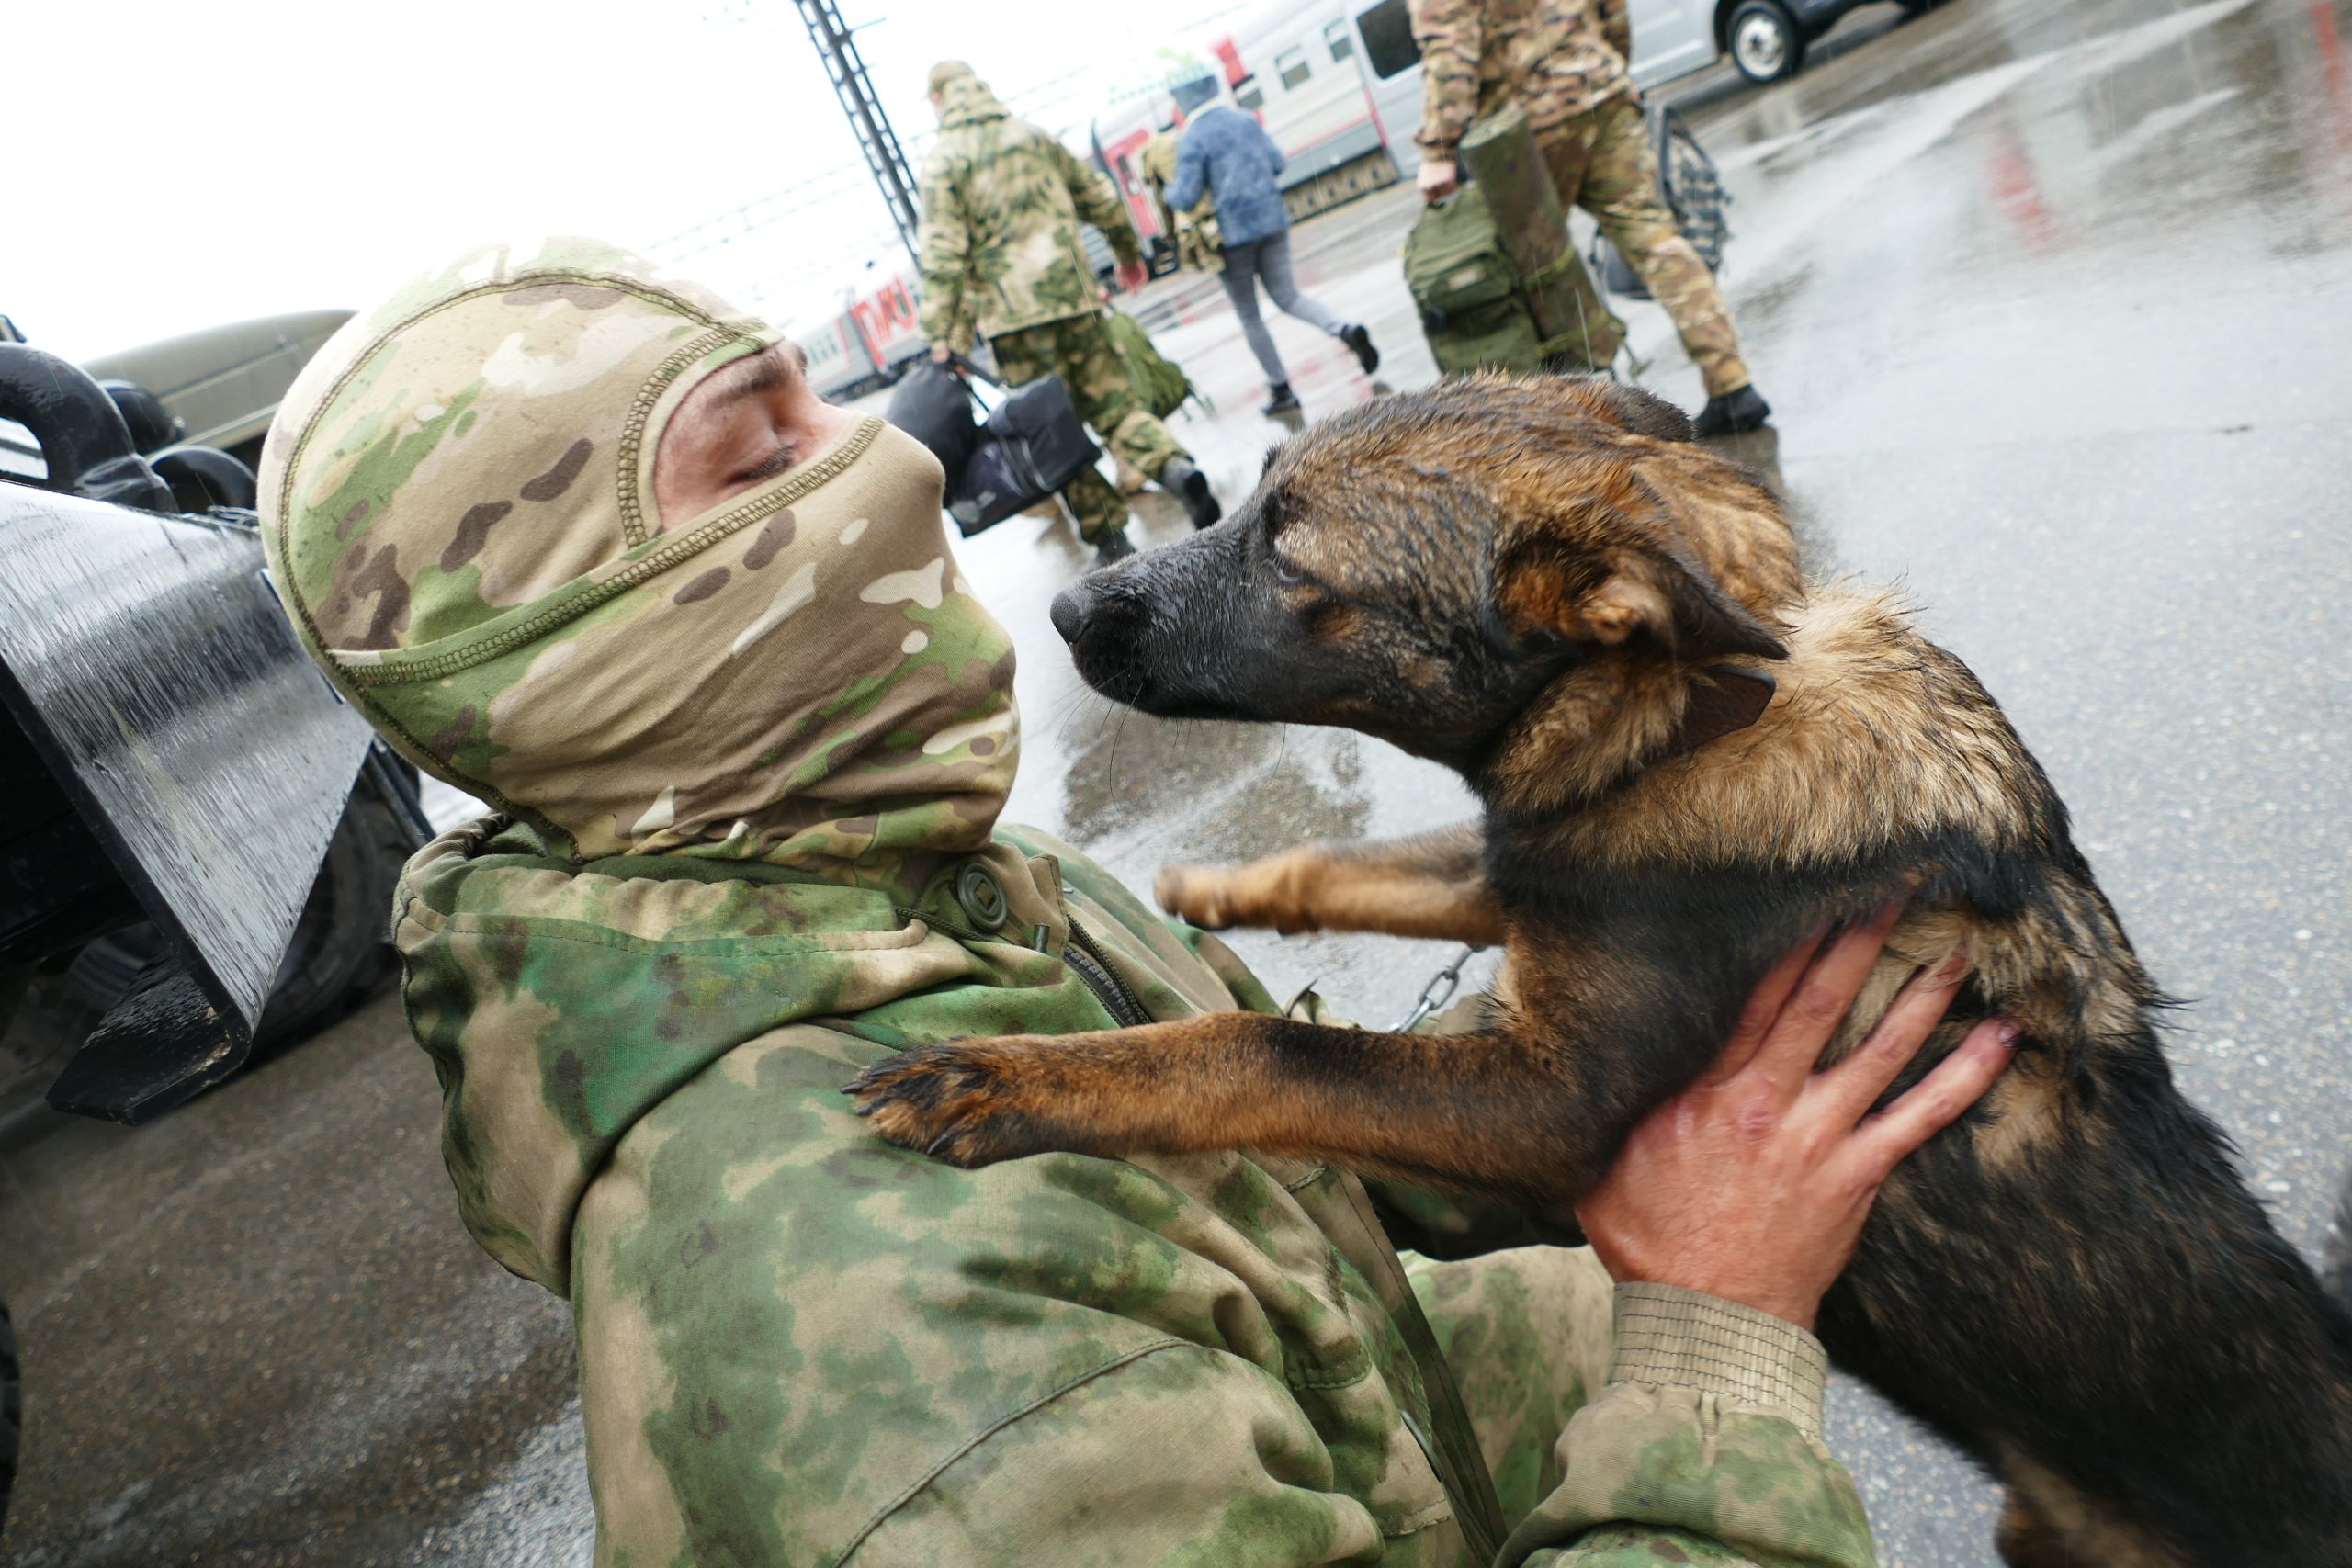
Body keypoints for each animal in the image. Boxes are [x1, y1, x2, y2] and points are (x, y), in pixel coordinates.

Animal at [855, 373, 2352, 1561]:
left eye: (1298, 563)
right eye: (1249, 502)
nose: (1061, 608)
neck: (1710, 704)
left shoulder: (1550, 1097)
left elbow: (1266, 1045)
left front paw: (1009, 1074)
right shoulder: (1541, 871)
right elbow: (1413, 860)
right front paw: (1229, 887)